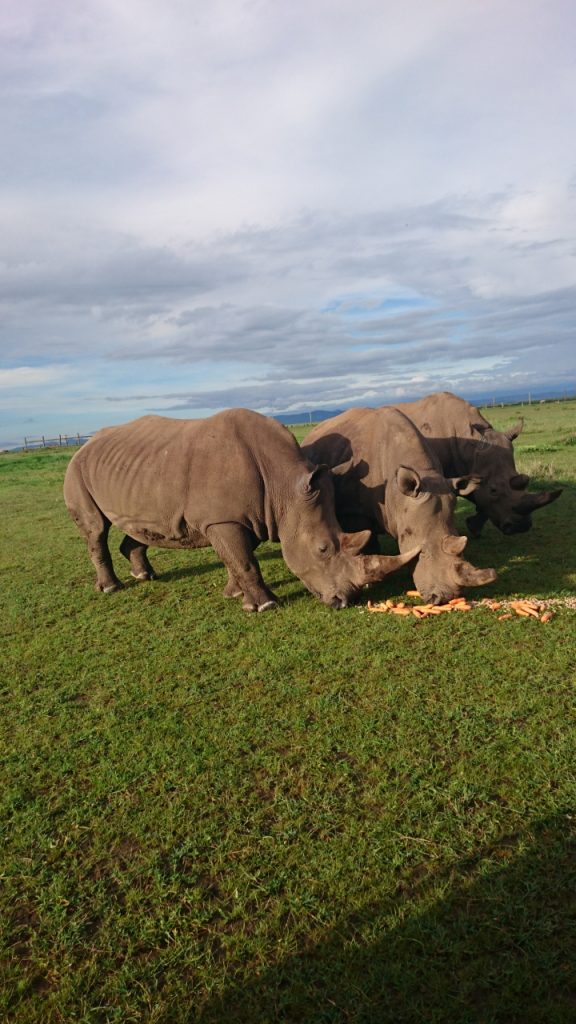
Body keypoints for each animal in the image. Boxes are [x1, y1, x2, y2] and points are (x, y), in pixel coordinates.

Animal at [63, 411, 416, 610]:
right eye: (323, 549)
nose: (344, 602)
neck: (284, 485)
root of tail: (85, 443)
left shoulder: (255, 515)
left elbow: (238, 557)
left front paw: (233, 595)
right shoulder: (223, 519)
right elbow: (244, 560)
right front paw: (264, 606)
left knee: (141, 527)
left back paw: (144, 575)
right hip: (77, 469)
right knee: (96, 529)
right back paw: (112, 588)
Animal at [391, 389, 557, 536]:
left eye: (526, 479)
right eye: (493, 490)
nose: (521, 527)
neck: (468, 449)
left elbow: (481, 499)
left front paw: (473, 527)